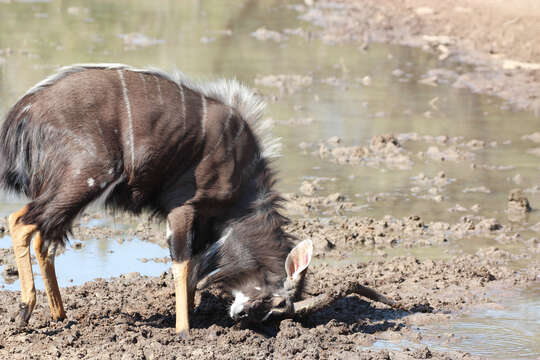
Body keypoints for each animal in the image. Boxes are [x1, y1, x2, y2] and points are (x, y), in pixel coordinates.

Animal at [1, 64, 312, 338]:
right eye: (278, 302)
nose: (241, 316)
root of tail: (23, 112)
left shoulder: (201, 221)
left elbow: (193, 266)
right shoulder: (183, 206)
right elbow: (181, 263)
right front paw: (183, 330)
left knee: (43, 239)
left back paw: (60, 315)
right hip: (85, 179)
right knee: (19, 221)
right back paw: (24, 311)